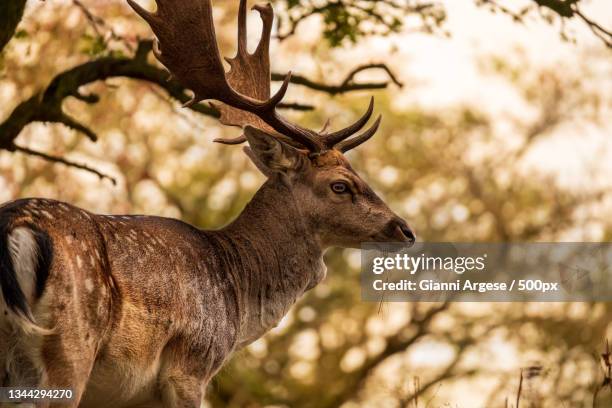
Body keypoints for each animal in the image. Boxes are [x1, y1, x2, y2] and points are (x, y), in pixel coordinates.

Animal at [0, 0, 416, 408]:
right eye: (340, 185)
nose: (405, 230)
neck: (239, 301)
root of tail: (14, 228)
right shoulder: (191, 366)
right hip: (70, 346)